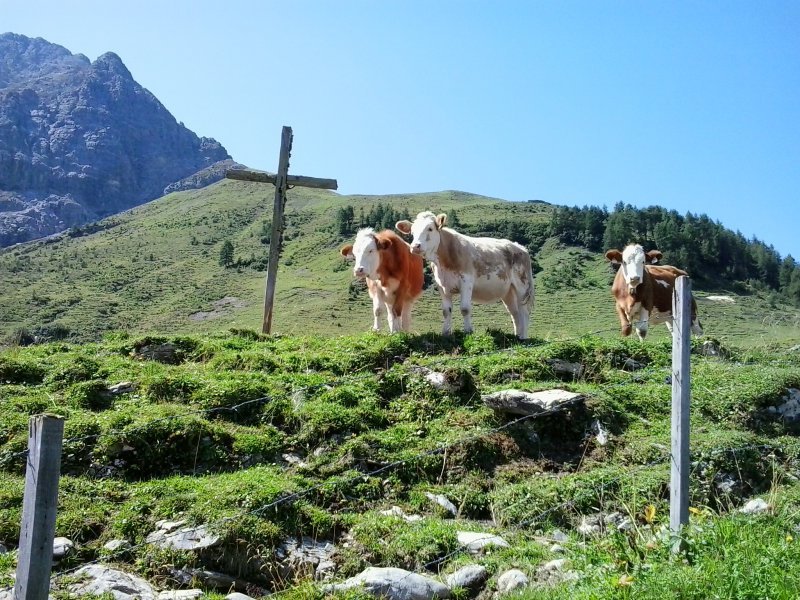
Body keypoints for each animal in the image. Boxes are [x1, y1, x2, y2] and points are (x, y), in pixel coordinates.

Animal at [396, 212, 536, 340]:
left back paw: (523, 337)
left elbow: (465, 309)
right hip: (508, 291)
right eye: (412, 231)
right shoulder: (442, 285)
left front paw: (468, 331)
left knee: (523, 311)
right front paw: (446, 333)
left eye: (430, 228)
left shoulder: (466, 281)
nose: (415, 246)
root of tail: (520, 247)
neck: (444, 261)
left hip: (523, 285)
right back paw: (517, 336)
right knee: (515, 313)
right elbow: (446, 310)